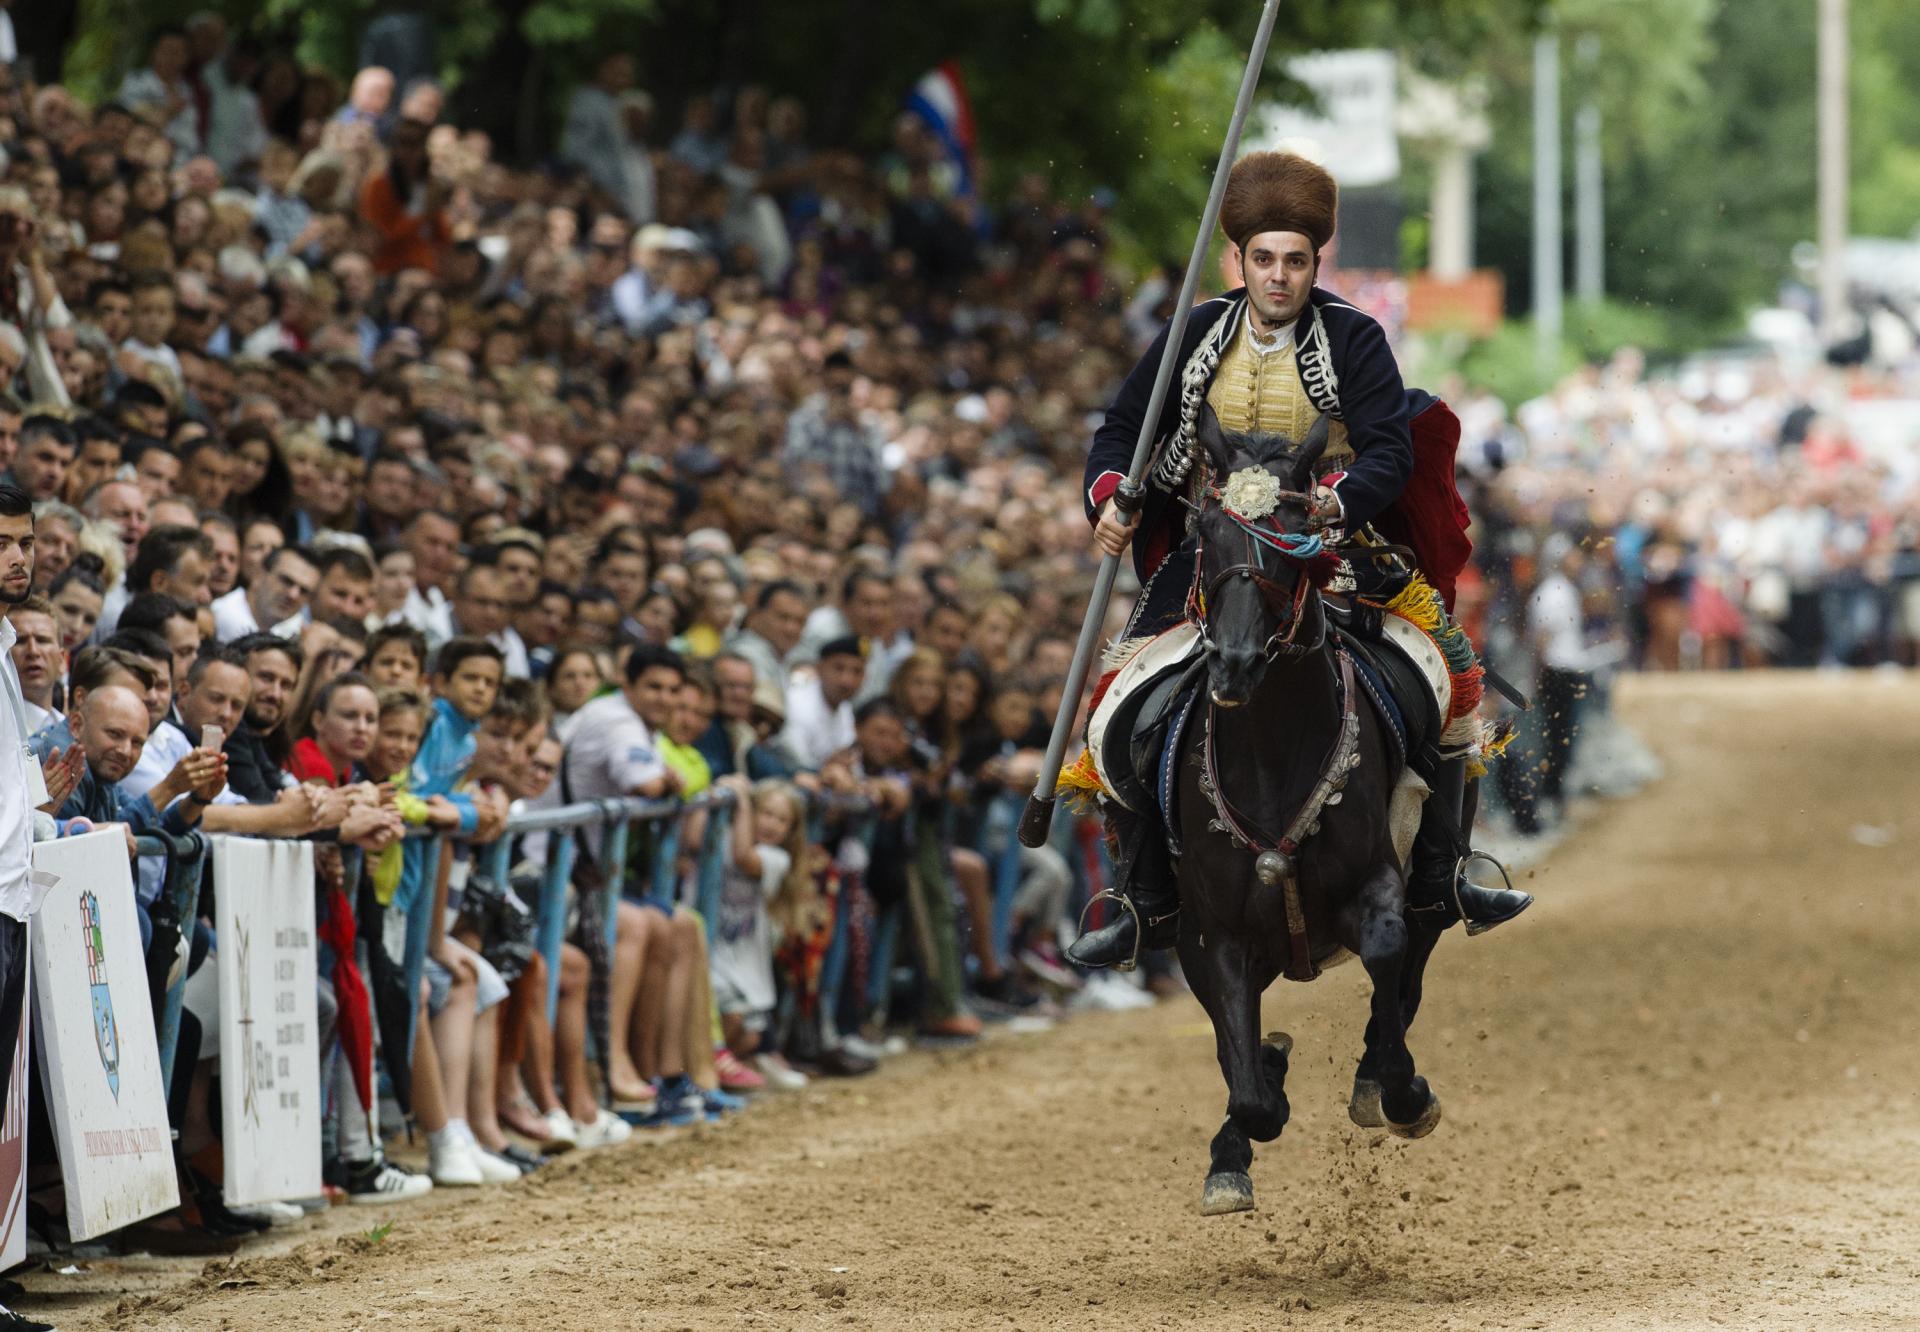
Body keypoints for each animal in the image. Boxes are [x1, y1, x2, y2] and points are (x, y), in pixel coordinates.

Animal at [1159, 406, 1443, 1220]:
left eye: (1294, 537)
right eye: (1207, 533)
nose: (1234, 663)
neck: (1270, 750)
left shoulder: (1378, 884)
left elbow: (1386, 955)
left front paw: (1401, 1091)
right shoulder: (1212, 933)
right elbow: (1248, 1084)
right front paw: (1258, 1107)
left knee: (1408, 968)